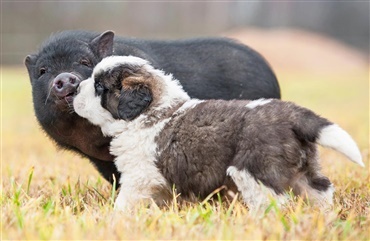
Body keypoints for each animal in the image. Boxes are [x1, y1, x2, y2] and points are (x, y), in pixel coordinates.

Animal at [73, 56, 364, 211]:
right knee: (320, 189)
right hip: (303, 169)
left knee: (273, 203)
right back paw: (323, 217)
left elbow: (125, 201)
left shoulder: (139, 176)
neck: (148, 113)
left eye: (99, 87)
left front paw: (115, 218)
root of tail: (291, 113)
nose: (74, 88)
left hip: (255, 172)